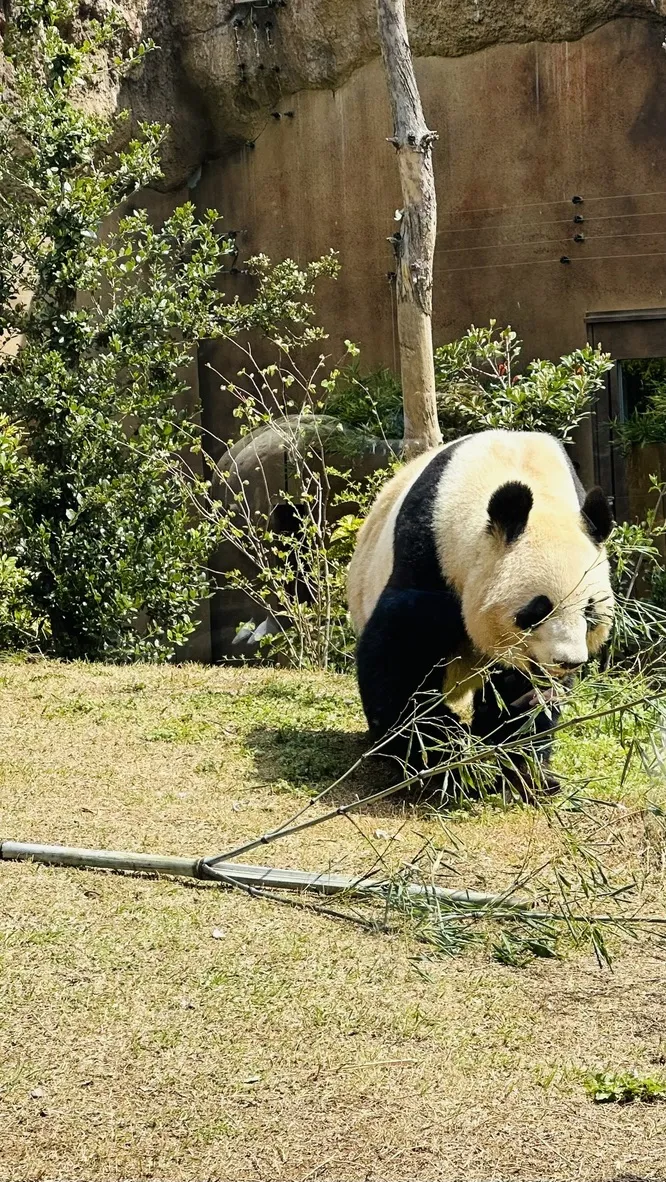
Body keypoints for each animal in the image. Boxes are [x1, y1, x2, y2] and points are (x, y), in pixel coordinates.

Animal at [347, 429, 615, 796]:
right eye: (538, 609)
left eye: (590, 611)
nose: (567, 662)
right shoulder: (429, 558)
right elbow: (399, 657)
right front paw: (443, 757)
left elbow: (520, 693)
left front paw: (524, 769)